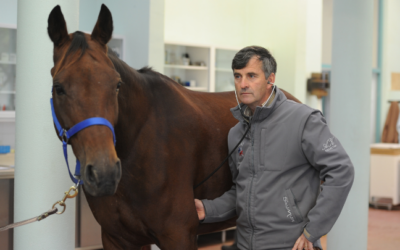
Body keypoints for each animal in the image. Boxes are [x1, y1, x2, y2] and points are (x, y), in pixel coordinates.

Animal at [48, 3, 300, 250]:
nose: (104, 173)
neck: (139, 144)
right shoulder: (117, 238)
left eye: (117, 84)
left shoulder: (178, 235)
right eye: (58, 87)